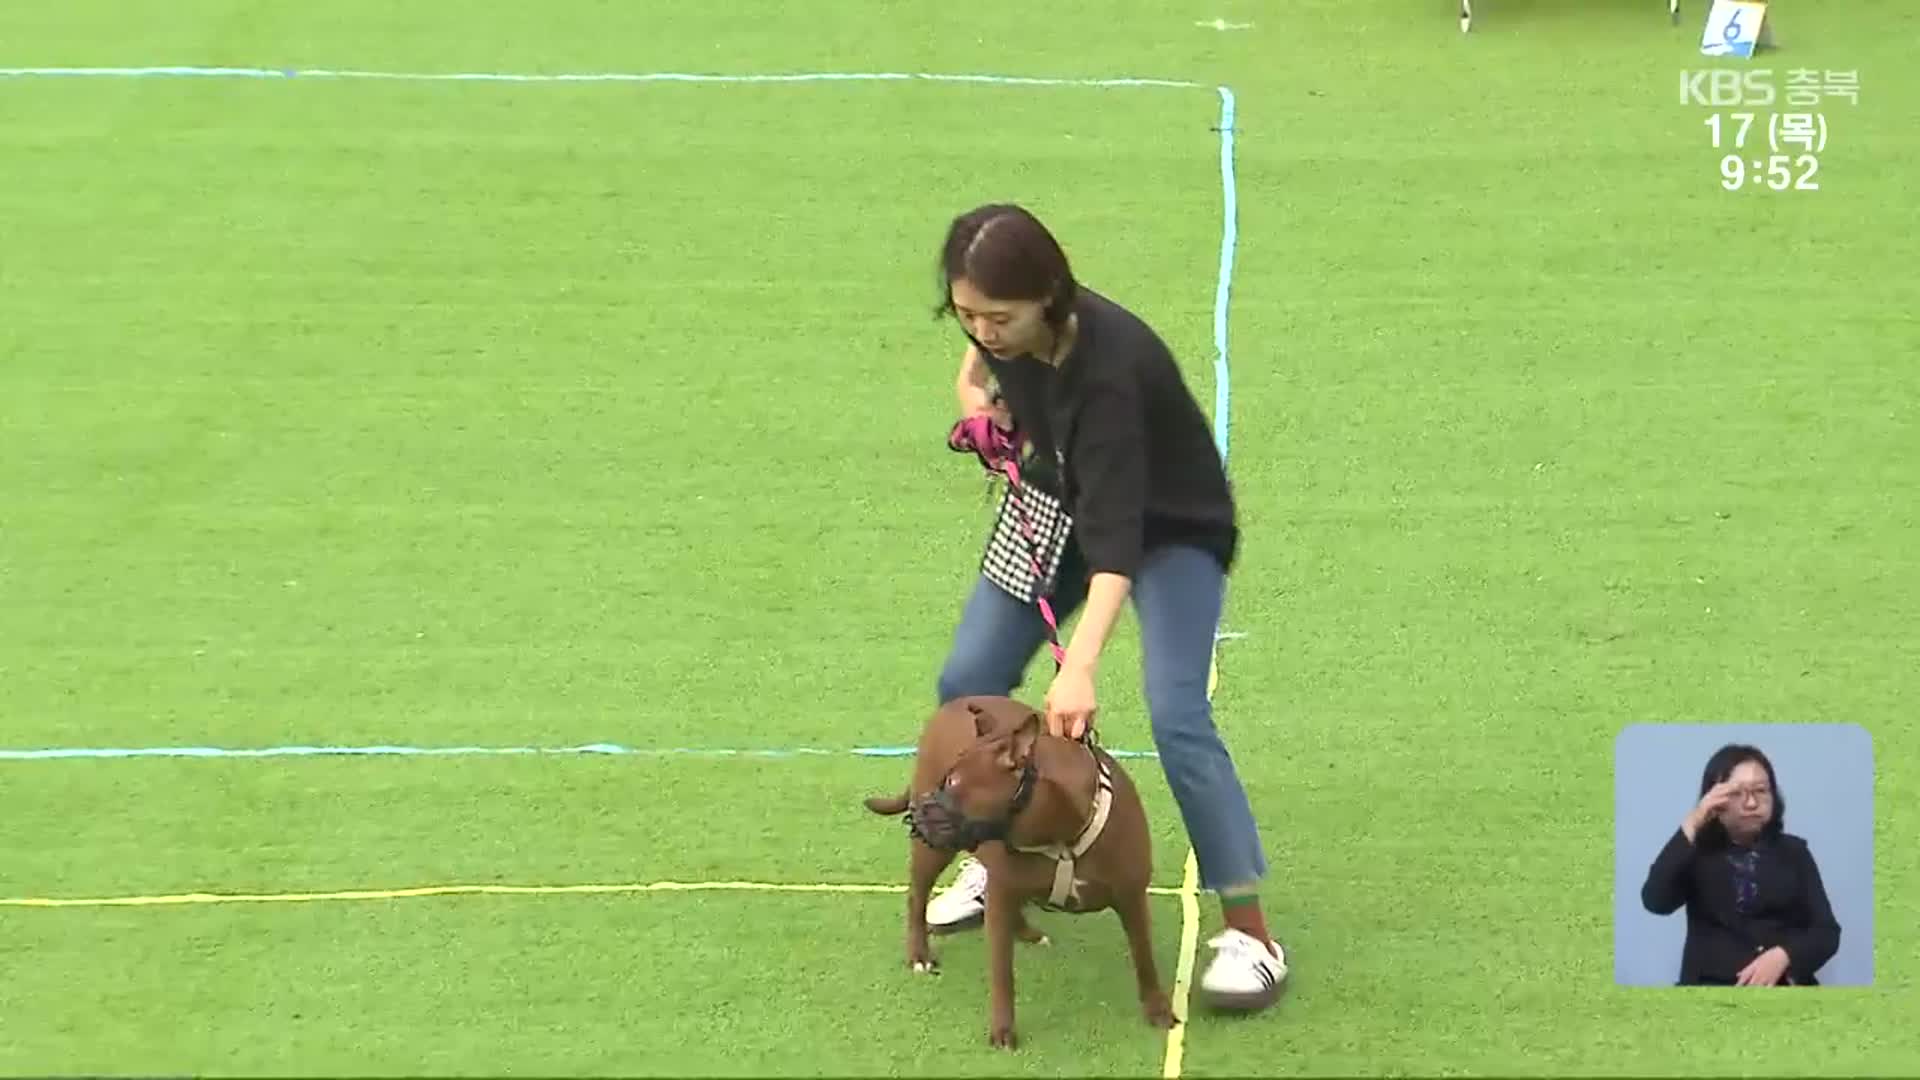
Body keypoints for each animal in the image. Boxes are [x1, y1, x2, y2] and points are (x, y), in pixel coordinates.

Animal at [867, 691, 1167, 1045]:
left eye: (953, 781)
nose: (918, 810)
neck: (1059, 833)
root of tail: (952, 705)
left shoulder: (1132, 899)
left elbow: (1144, 957)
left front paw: (1158, 1008)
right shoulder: (1002, 893)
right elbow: (1002, 972)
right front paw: (1003, 1028)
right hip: (935, 853)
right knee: (917, 897)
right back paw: (919, 955)